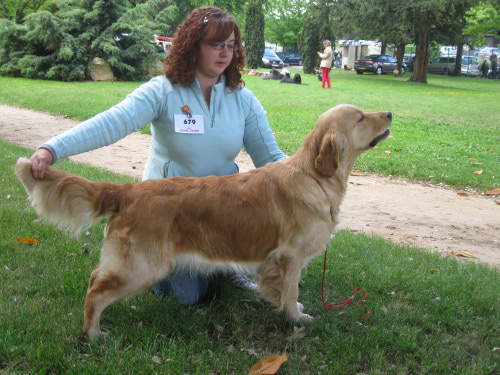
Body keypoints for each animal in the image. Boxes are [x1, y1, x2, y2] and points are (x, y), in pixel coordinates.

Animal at [14, 104, 390, 342]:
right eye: (360, 117)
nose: (389, 113)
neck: (313, 175)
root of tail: (128, 190)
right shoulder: (290, 257)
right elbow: (290, 290)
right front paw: (295, 319)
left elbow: (286, 292)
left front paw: (292, 310)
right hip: (143, 267)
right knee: (95, 292)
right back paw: (93, 334)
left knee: (95, 277)